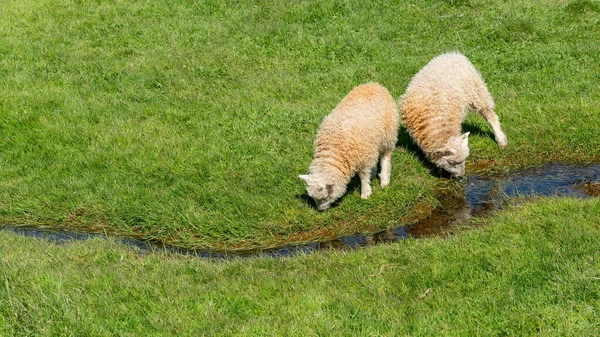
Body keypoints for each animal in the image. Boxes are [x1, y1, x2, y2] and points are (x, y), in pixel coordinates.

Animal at [298, 82, 398, 210]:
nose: (320, 211)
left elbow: (363, 176)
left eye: (325, 197)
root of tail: (374, 84)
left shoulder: (362, 157)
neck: (334, 148)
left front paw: (365, 193)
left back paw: (384, 180)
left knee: (385, 156)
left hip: (388, 134)